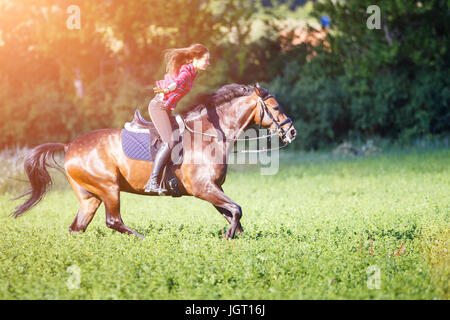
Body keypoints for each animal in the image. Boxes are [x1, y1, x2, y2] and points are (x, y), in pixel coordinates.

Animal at [10, 84, 298, 239]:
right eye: (275, 107)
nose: (292, 132)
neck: (208, 136)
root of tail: (69, 146)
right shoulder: (204, 189)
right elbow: (236, 210)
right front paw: (228, 238)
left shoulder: (214, 188)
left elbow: (232, 214)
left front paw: (238, 237)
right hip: (109, 188)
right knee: (113, 221)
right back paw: (143, 238)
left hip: (89, 197)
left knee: (77, 228)